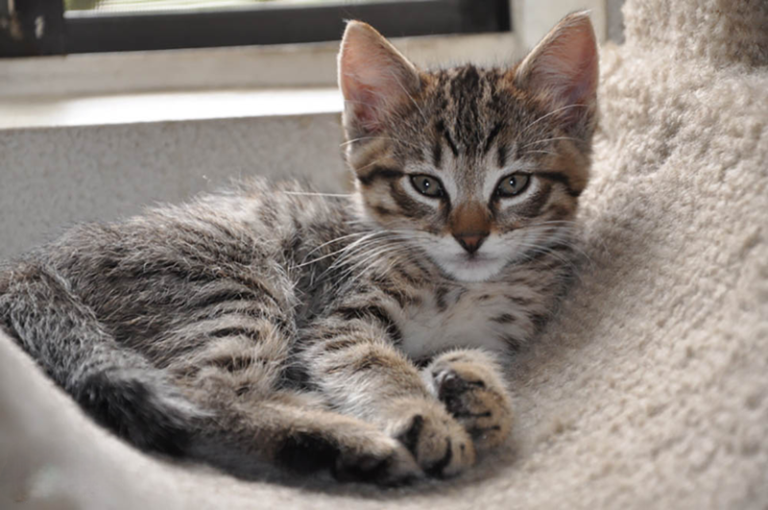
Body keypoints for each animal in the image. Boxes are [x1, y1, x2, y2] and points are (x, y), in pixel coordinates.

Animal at [0, 13, 600, 484]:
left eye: (513, 184)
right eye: (426, 185)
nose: (471, 238)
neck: (459, 285)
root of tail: (35, 263)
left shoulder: (492, 330)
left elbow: (461, 355)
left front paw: (479, 391)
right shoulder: (341, 317)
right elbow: (375, 363)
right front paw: (421, 412)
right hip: (236, 281)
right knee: (205, 396)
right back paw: (345, 442)